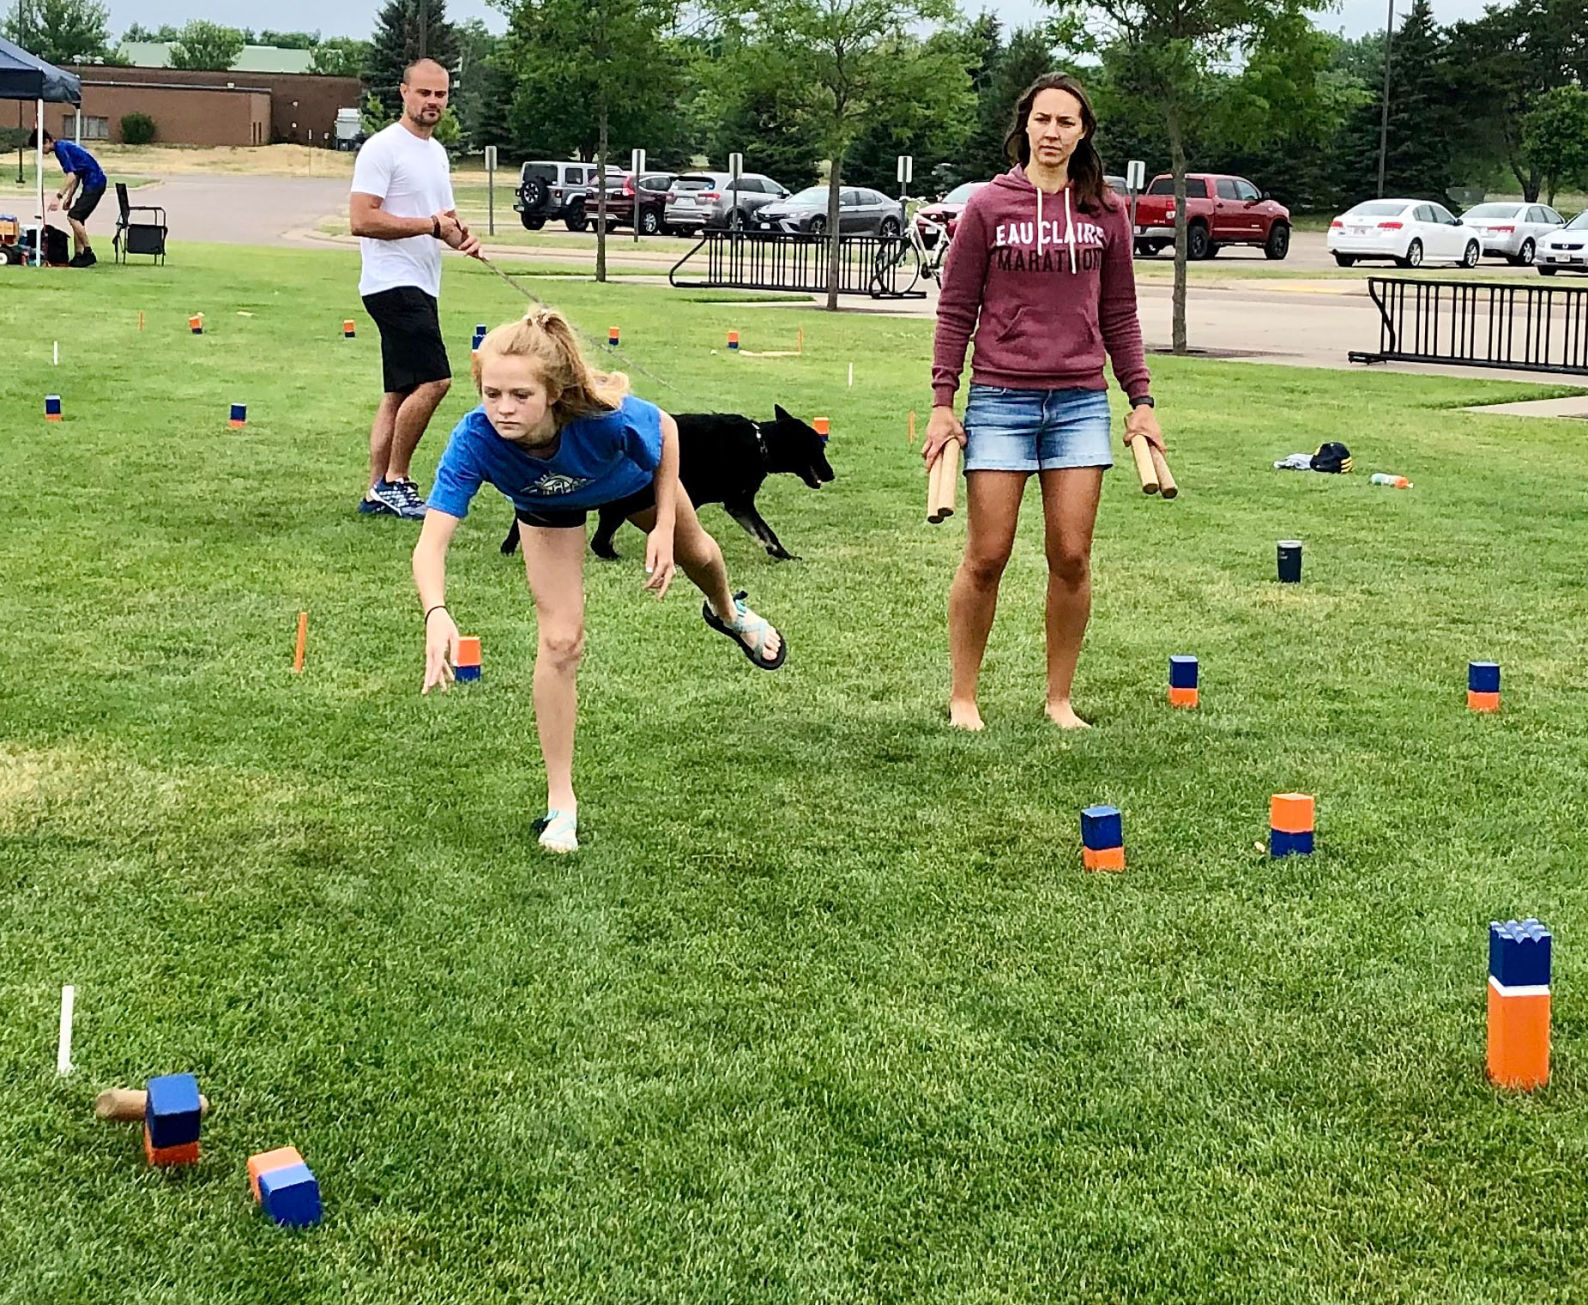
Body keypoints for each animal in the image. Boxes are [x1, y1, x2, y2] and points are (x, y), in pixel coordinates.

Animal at [501, 409, 838, 562]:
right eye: (818, 449)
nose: (832, 474)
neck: (759, 444)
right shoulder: (722, 502)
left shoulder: (739, 504)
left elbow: (766, 532)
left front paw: (782, 554)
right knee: (595, 538)